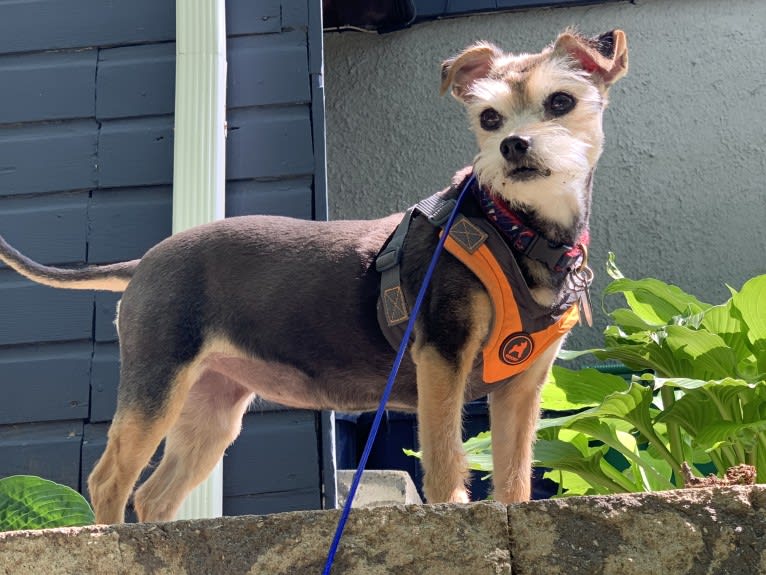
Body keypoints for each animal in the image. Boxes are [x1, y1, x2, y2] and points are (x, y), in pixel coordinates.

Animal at [0, 29, 628, 524]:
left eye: (561, 101)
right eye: (489, 118)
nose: (513, 145)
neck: (517, 228)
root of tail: (147, 259)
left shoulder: (522, 386)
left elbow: (515, 474)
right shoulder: (442, 357)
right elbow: (447, 458)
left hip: (212, 408)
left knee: (154, 495)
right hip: (157, 382)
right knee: (109, 480)